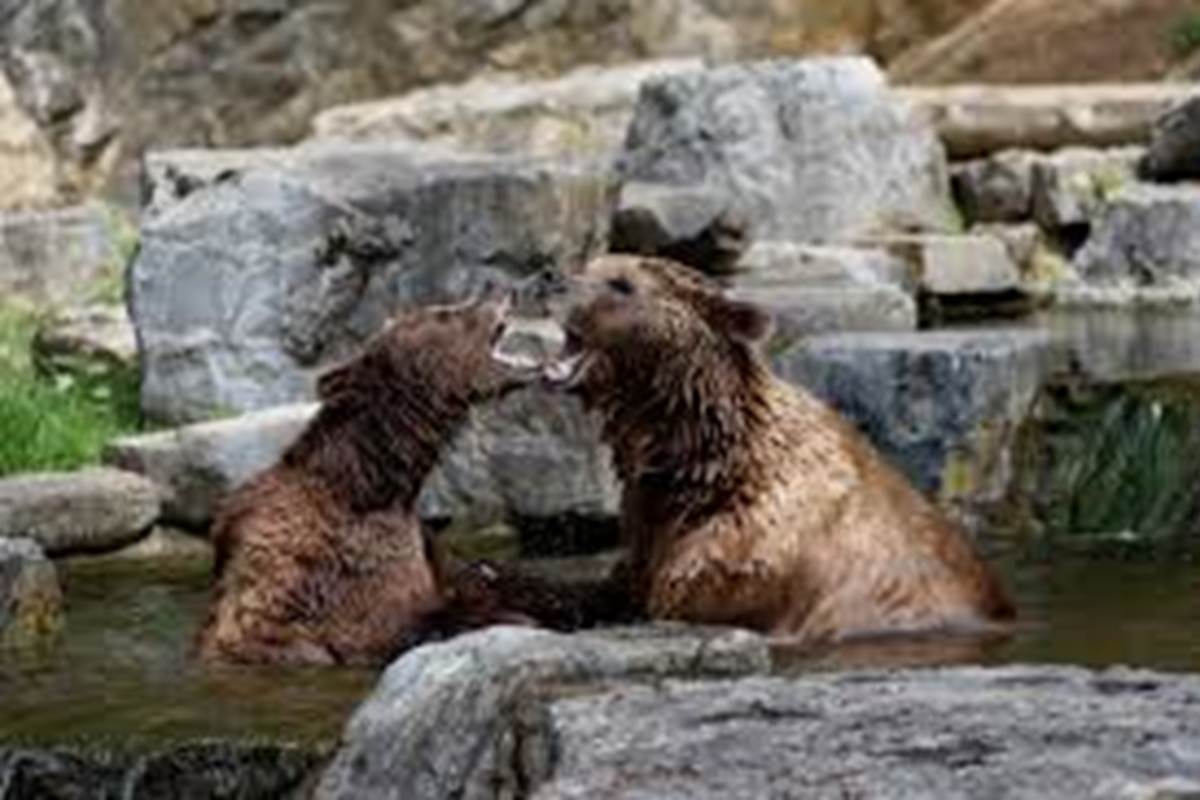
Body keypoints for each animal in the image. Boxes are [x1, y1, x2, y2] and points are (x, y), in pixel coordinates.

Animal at [525, 256, 1012, 642]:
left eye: (622, 283)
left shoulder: (740, 564)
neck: (702, 468)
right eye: (591, 263)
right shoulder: (650, 533)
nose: (550, 278)